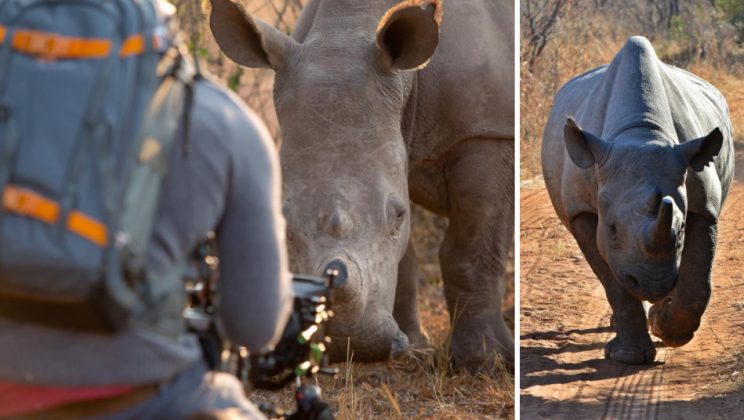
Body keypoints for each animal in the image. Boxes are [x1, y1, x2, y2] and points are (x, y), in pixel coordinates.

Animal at [207, 0, 514, 370]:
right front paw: (415, 347)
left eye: (397, 216)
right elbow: (404, 261)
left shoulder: (489, 131)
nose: (348, 343)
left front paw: (485, 363)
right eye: (284, 225)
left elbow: (470, 249)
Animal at [542, 36, 734, 364]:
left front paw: (668, 331)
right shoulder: (582, 211)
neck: (642, 135)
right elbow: (614, 281)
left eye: (682, 229)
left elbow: (698, 281)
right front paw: (628, 357)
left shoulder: (703, 206)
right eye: (612, 229)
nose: (651, 284)